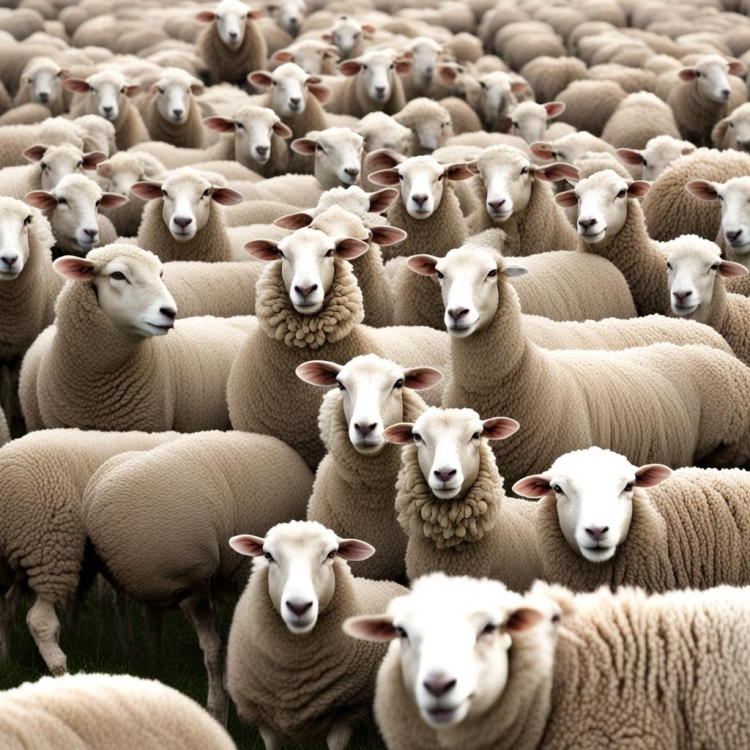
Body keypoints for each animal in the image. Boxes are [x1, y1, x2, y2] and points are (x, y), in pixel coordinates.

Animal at [226, 520, 407, 749]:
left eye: (332, 554)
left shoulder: (346, 712)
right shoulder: (262, 719)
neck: (294, 672)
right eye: (268, 555)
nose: (298, 606)